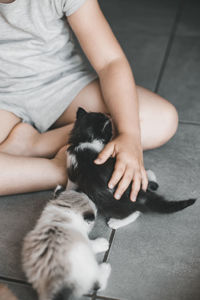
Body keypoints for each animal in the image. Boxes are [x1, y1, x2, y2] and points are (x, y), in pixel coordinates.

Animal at [66, 108, 196, 230]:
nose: (111, 121)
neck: (86, 140)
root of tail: (141, 195)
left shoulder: (72, 170)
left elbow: (70, 182)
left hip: (111, 204)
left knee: (135, 211)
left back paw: (116, 222)